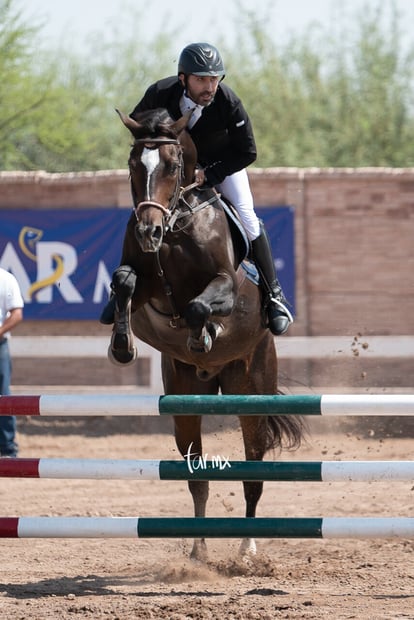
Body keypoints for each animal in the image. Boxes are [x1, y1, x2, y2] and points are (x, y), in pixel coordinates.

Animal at [105, 106, 302, 560]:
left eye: (173, 166)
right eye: (132, 164)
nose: (148, 232)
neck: (176, 221)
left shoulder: (224, 285)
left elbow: (198, 305)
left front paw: (203, 335)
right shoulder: (147, 285)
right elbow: (124, 281)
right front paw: (122, 345)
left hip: (252, 392)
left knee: (253, 473)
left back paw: (246, 549)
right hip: (184, 402)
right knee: (196, 474)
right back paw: (198, 551)